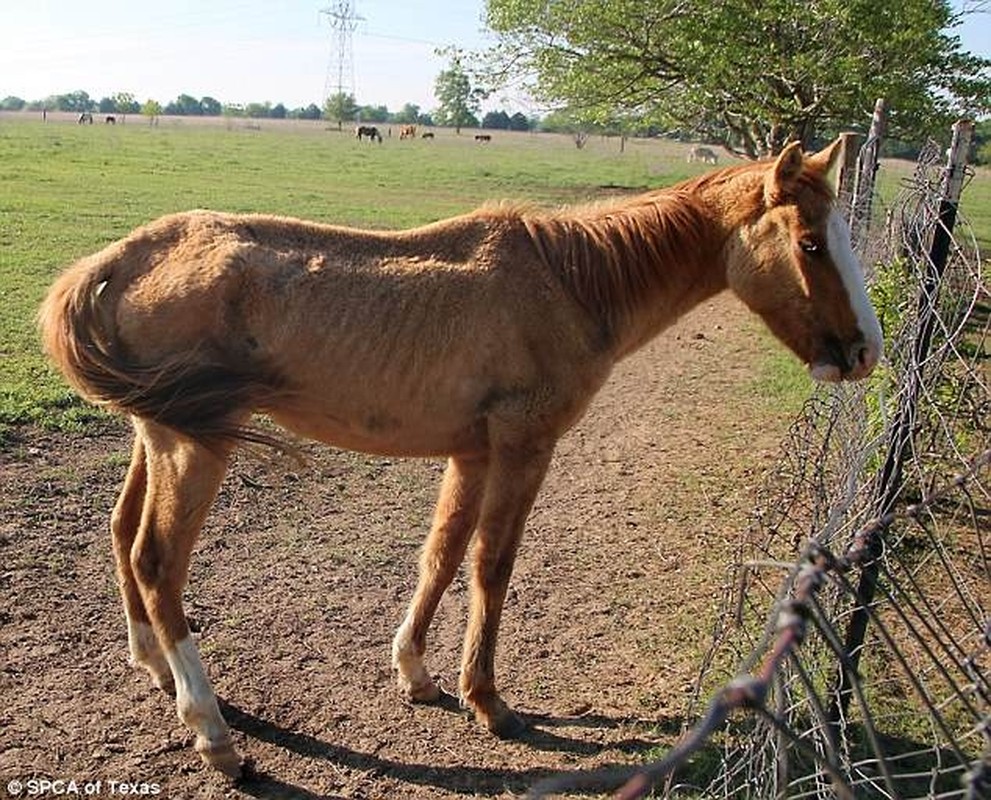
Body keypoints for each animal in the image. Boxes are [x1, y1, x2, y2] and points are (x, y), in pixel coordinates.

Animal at [40, 136, 884, 776]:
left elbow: (441, 557)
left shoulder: (471, 455)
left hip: (158, 438)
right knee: (157, 561)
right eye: (810, 243)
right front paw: (487, 699)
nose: (863, 351)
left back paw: (152, 664)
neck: (569, 283)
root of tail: (124, 257)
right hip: (193, 451)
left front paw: (414, 672)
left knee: (122, 535)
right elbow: (491, 567)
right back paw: (211, 728)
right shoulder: (522, 448)